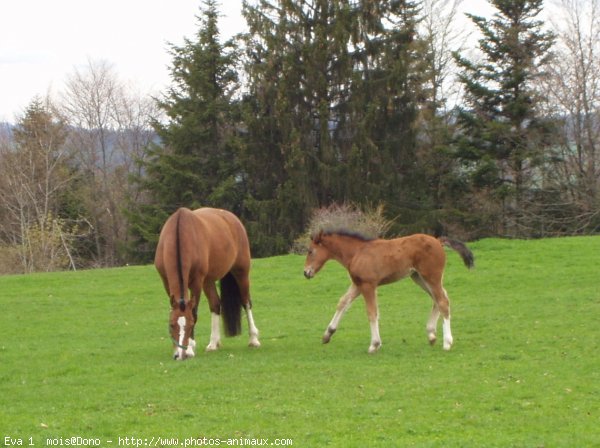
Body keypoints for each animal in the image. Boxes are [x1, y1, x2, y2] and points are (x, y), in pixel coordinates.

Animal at [154, 207, 258, 360]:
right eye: (171, 325)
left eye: (191, 325)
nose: (179, 355)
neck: (179, 235)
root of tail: (231, 217)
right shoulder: (166, 282)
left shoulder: (196, 282)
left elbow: (194, 312)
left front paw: (190, 348)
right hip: (208, 281)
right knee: (215, 304)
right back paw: (213, 343)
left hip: (241, 271)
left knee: (246, 302)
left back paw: (254, 339)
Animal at [304, 231, 474, 354]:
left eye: (310, 251)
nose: (306, 272)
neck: (357, 252)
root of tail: (438, 241)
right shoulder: (358, 284)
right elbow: (343, 303)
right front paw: (327, 334)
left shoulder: (368, 285)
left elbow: (372, 313)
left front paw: (374, 344)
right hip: (418, 277)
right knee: (438, 299)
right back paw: (431, 335)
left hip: (431, 276)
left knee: (443, 301)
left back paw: (447, 342)